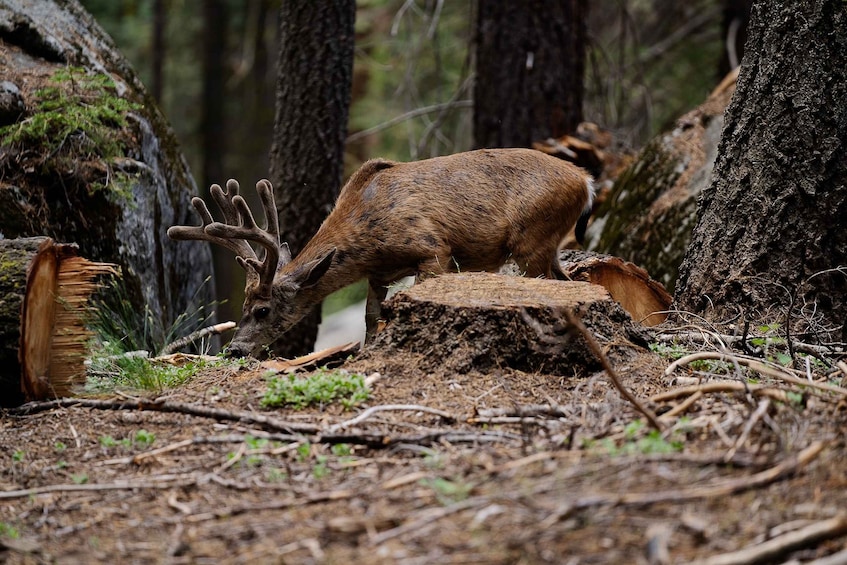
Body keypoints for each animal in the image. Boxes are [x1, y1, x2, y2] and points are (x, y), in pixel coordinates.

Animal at [169, 148, 596, 354]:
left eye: (261, 310)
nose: (236, 349)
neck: (367, 233)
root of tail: (586, 180)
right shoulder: (378, 274)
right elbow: (371, 317)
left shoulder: (433, 248)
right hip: (546, 244)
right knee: (573, 280)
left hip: (532, 238)